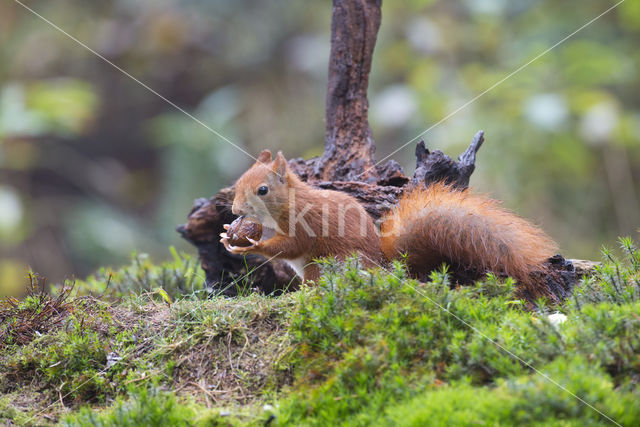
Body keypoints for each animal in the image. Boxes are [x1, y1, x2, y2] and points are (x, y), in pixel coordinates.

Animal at [218, 148, 556, 294]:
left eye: (262, 190)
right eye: (239, 181)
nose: (234, 209)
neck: (286, 205)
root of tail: (382, 268)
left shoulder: (306, 223)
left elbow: (289, 245)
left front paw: (248, 245)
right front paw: (228, 234)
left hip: (327, 264)